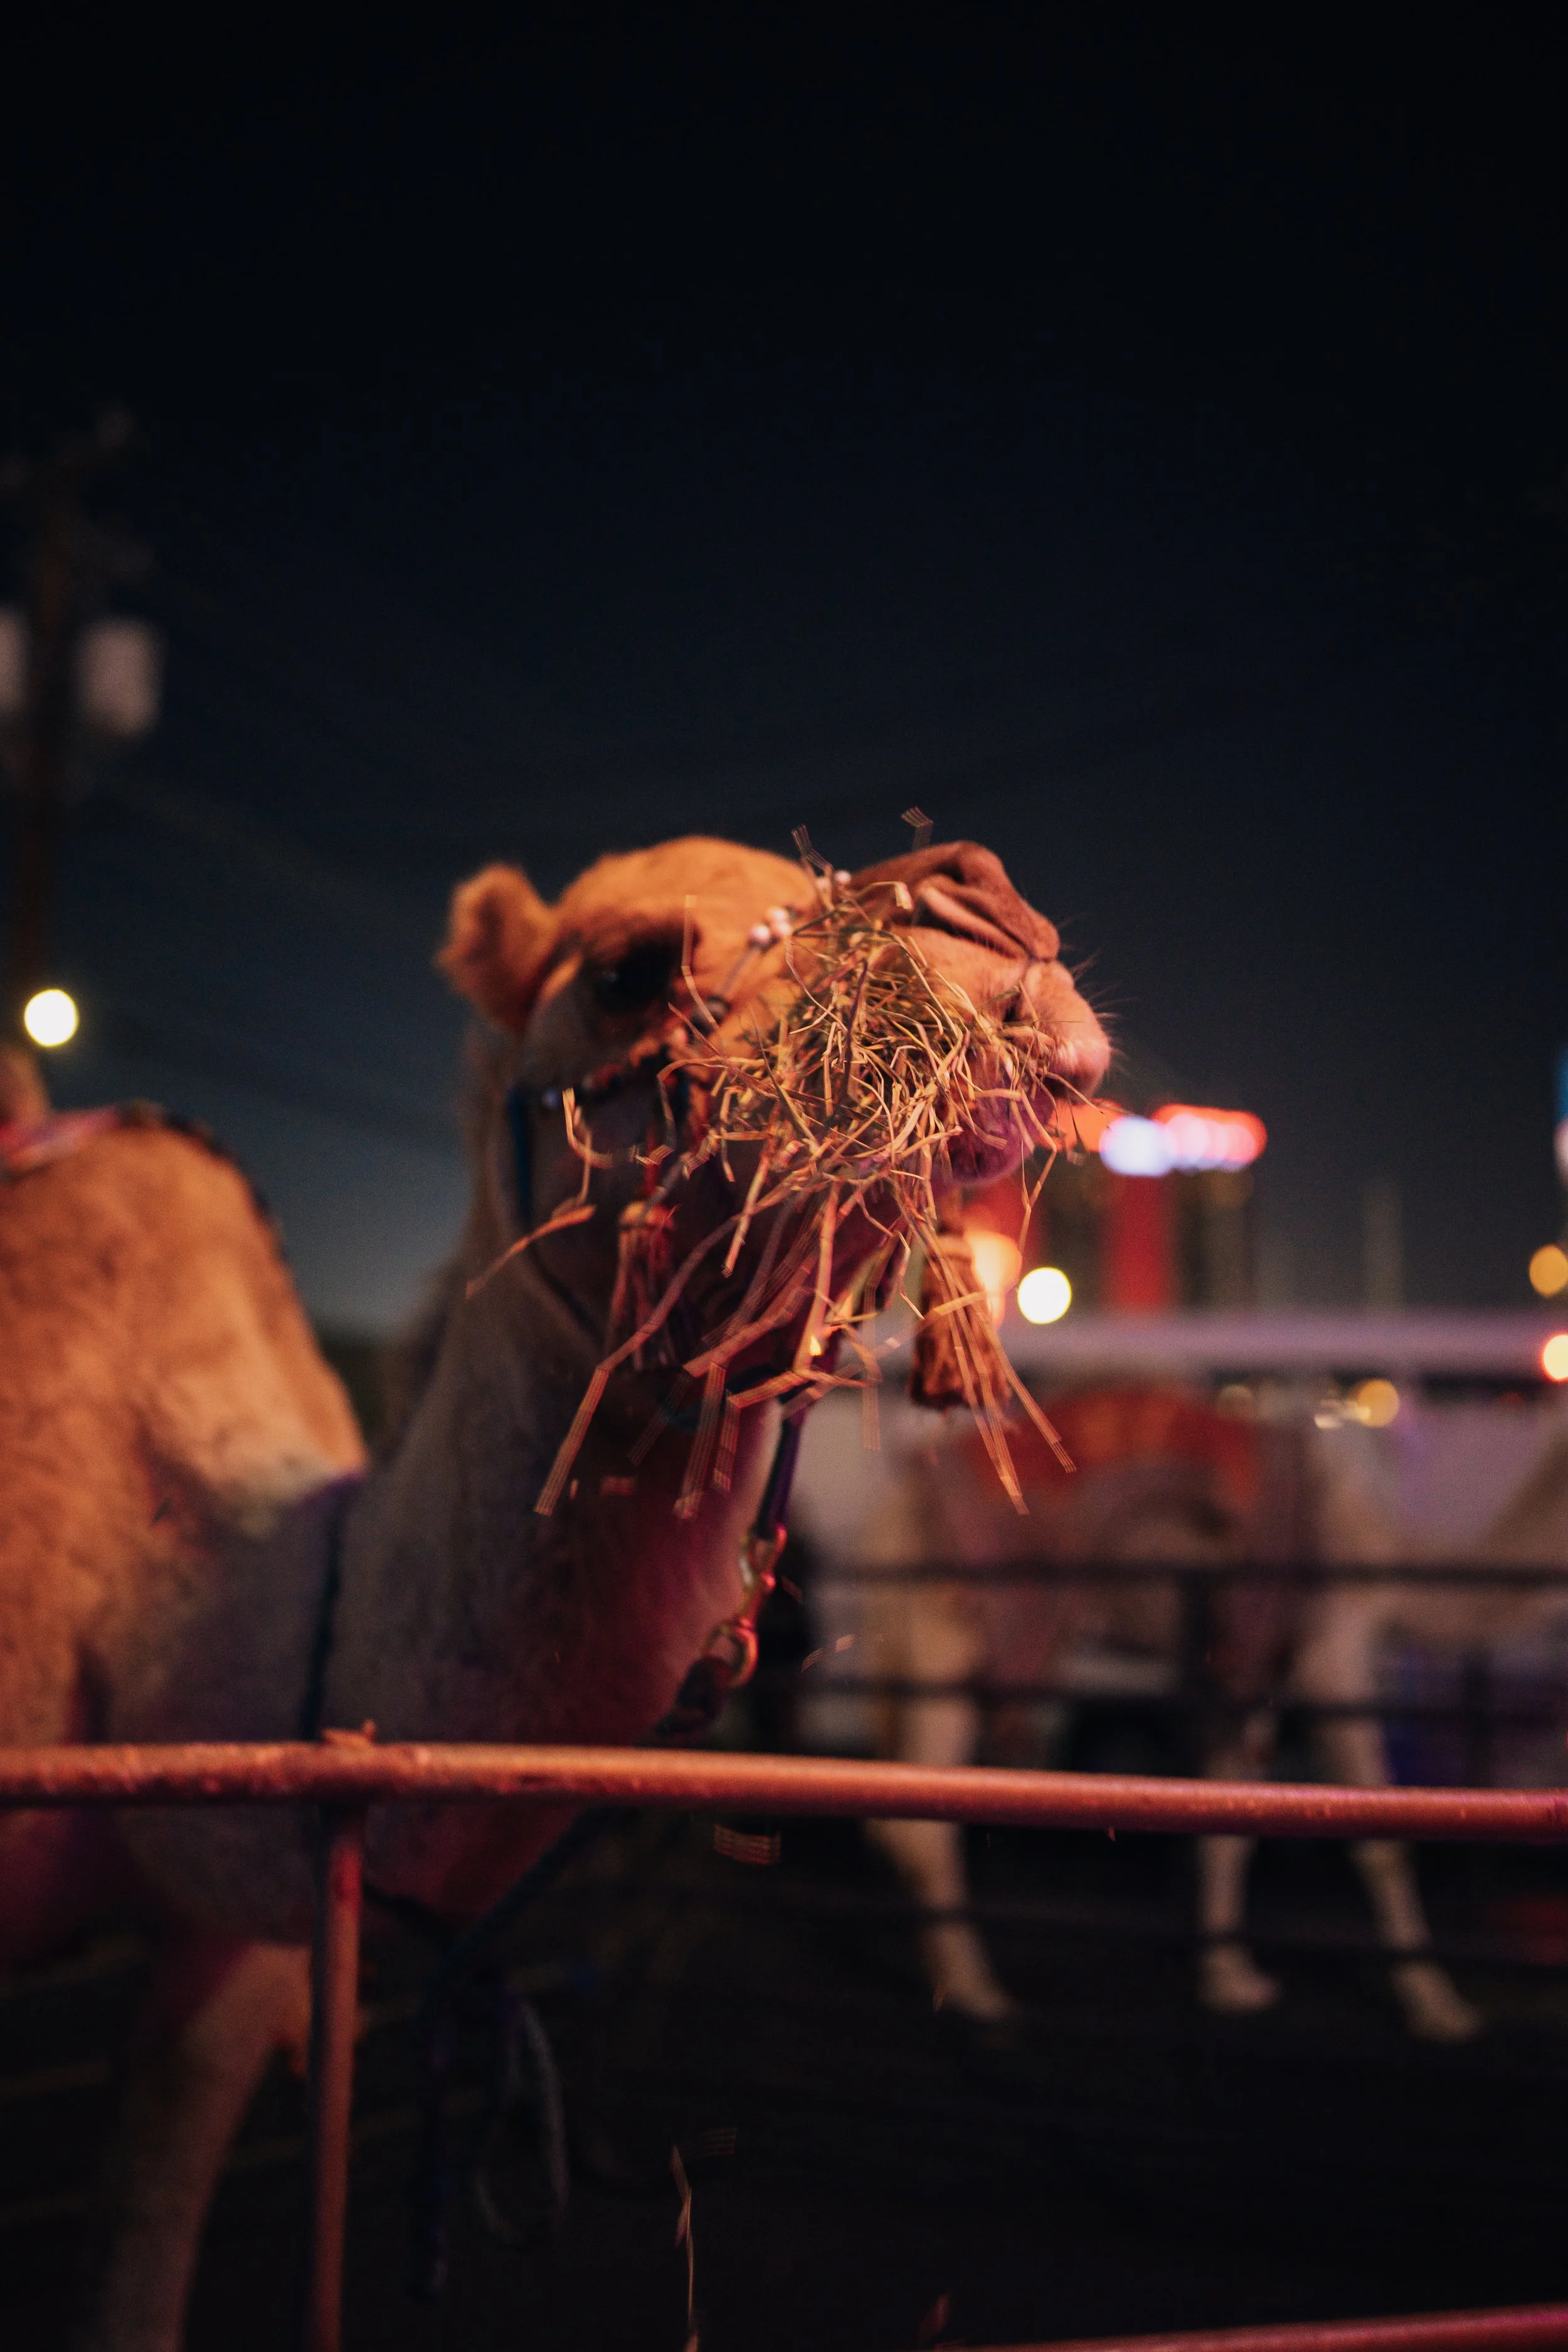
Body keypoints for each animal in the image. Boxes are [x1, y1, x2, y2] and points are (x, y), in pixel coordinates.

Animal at [853, 1389, 1568, 2044]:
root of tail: (890, 1507)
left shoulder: (1247, 1660)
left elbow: (1233, 1818)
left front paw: (1232, 1982)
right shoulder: (1331, 1639)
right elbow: (1383, 1837)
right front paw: (1439, 2009)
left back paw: (941, 1974)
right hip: (948, 1633)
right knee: (925, 1819)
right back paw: (979, 1993)